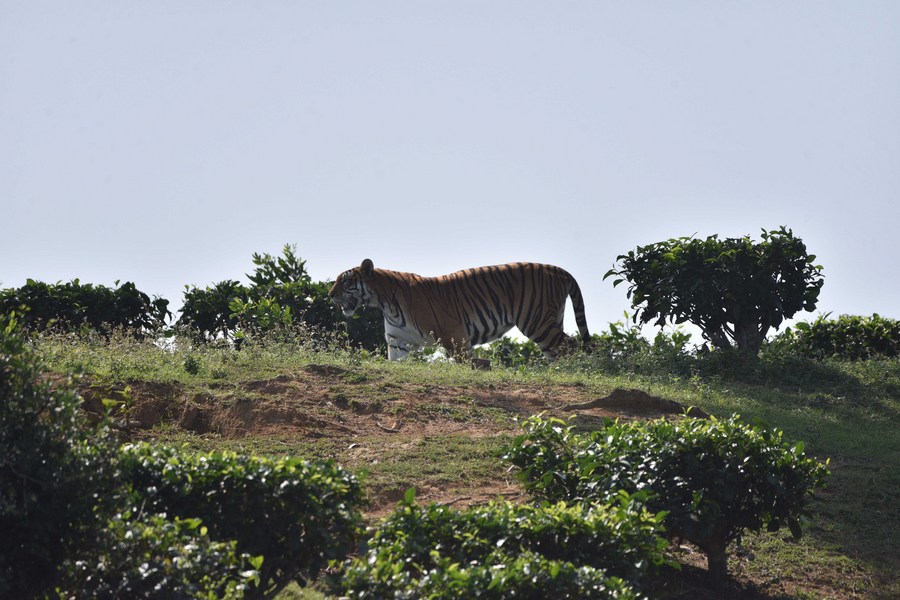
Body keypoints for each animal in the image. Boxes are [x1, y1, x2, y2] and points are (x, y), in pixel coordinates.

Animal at [330, 258, 592, 360]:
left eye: (345, 281)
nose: (330, 295)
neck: (384, 302)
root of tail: (559, 270)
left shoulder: (453, 334)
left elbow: (465, 360)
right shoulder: (398, 342)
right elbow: (395, 361)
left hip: (536, 322)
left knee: (572, 346)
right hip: (550, 320)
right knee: (558, 351)